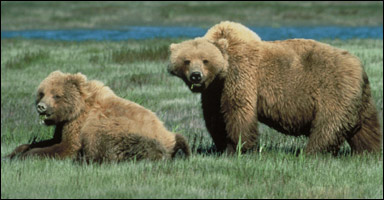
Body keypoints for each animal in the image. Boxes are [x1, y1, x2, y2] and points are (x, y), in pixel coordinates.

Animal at [6, 71, 190, 162]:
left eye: (56, 95)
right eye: (42, 93)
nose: (41, 106)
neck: (77, 109)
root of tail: (169, 136)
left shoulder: (79, 123)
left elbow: (66, 147)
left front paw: (27, 155)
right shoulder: (64, 124)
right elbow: (51, 140)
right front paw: (14, 152)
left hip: (123, 130)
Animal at [168, 21, 380, 155]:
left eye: (205, 60)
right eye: (186, 61)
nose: (196, 75)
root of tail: (359, 66)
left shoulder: (241, 74)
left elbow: (238, 111)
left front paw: (239, 148)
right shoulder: (213, 90)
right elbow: (215, 117)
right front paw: (222, 146)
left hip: (333, 88)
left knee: (328, 125)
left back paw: (311, 153)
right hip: (359, 97)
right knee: (366, 126)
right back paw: (369, 151)